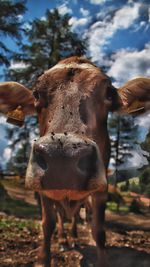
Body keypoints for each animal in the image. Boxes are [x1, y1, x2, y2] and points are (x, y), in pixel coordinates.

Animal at [0, 57, 149, 267]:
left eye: (110, 94)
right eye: (36, 93)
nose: (62, 157)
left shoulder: (101, 189)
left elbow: (98, 231)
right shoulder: (43, 189)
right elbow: (48, 224)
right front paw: (44, 258)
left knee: (75, 216)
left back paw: (74, 238)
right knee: (61, 216)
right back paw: (64, 241)